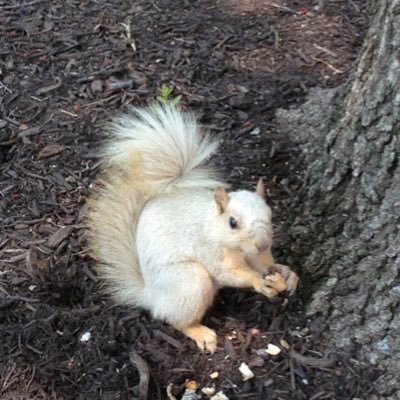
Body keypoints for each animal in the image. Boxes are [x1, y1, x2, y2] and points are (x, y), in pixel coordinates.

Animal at [88, 104, 300, 352]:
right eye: (233, 222)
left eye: (270, 214)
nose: (263, 244)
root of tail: (151, 295)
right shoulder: (210, 249)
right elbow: (229, 273)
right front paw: (258, 281)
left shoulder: (256, 256)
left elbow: (266, 264)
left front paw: (287, 274)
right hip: (190, 282)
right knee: (174, 319)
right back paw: (200, 332)